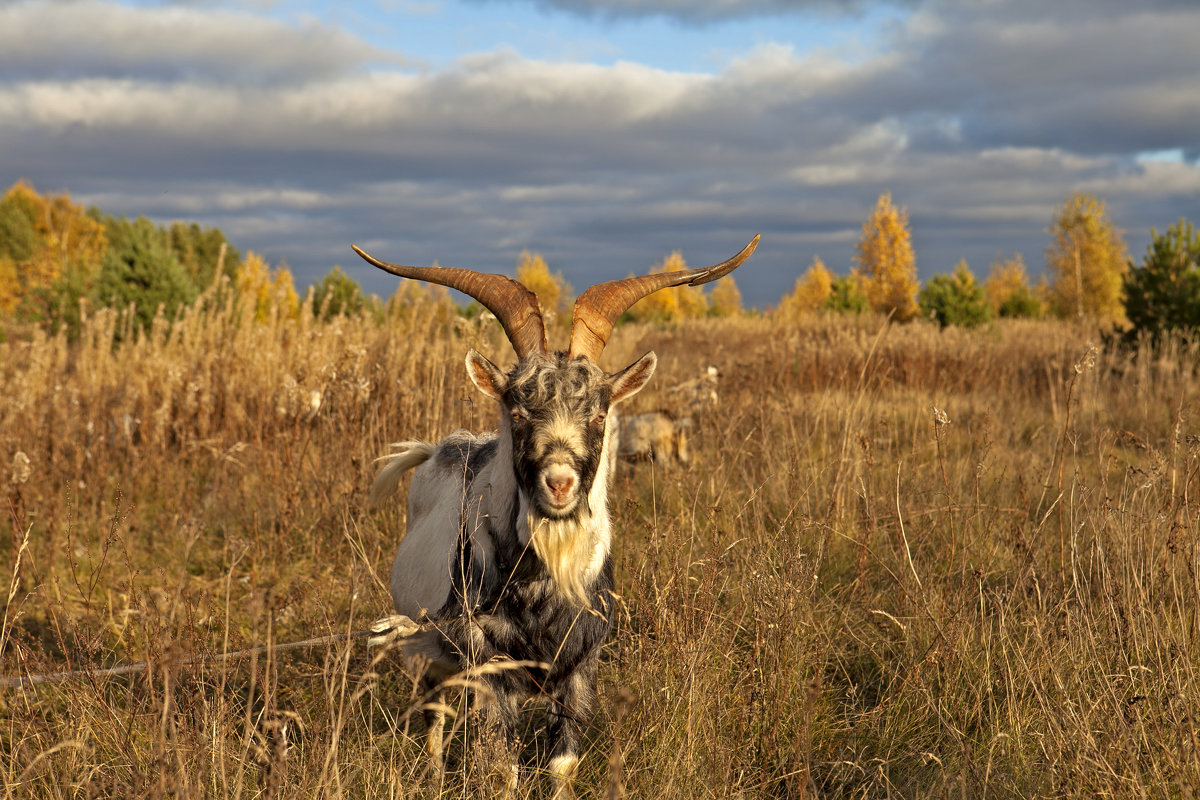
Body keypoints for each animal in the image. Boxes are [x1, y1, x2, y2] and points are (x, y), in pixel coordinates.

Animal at [352, 235, 758, 796]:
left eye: (600, 412)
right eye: (519, 410)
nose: (559, 482)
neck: (543, 590)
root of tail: (442, 448)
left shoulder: (581, 667)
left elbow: (562, 762)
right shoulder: (490, 667)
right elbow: (502, 765)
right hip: (421, 648)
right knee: (432, 715)